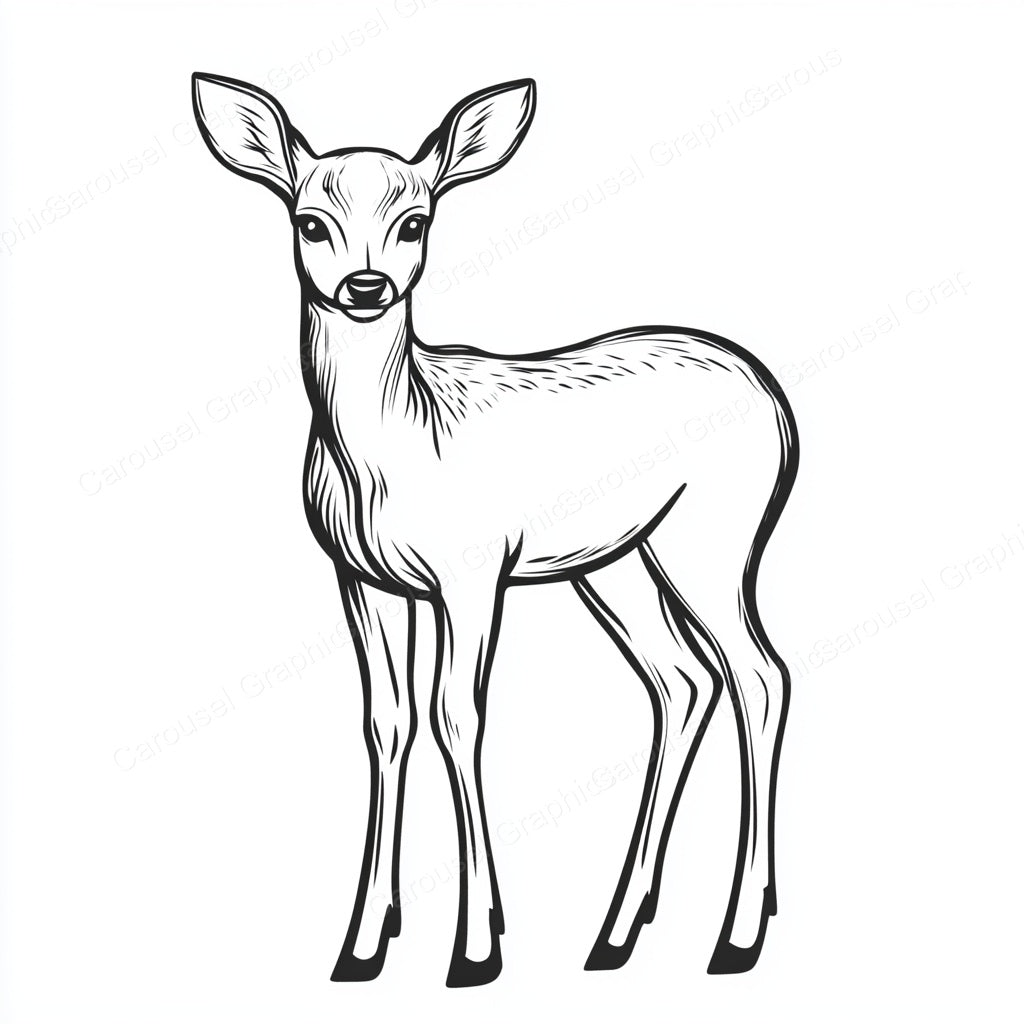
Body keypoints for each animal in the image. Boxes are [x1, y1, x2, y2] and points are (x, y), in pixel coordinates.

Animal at [192, 72, 799, 987]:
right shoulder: (362, 578)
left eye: (416, 220)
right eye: (309, 220)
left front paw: (477, 948)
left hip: (715, 536)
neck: (397, 442)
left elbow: (458, 717)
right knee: (682, 680)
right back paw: (615, 933)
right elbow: (388, 721)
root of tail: (771, 394)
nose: (365, 286)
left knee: (760, 676)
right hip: (616, 560)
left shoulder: (473, 571)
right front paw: (362, 945)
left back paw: (737, 936)